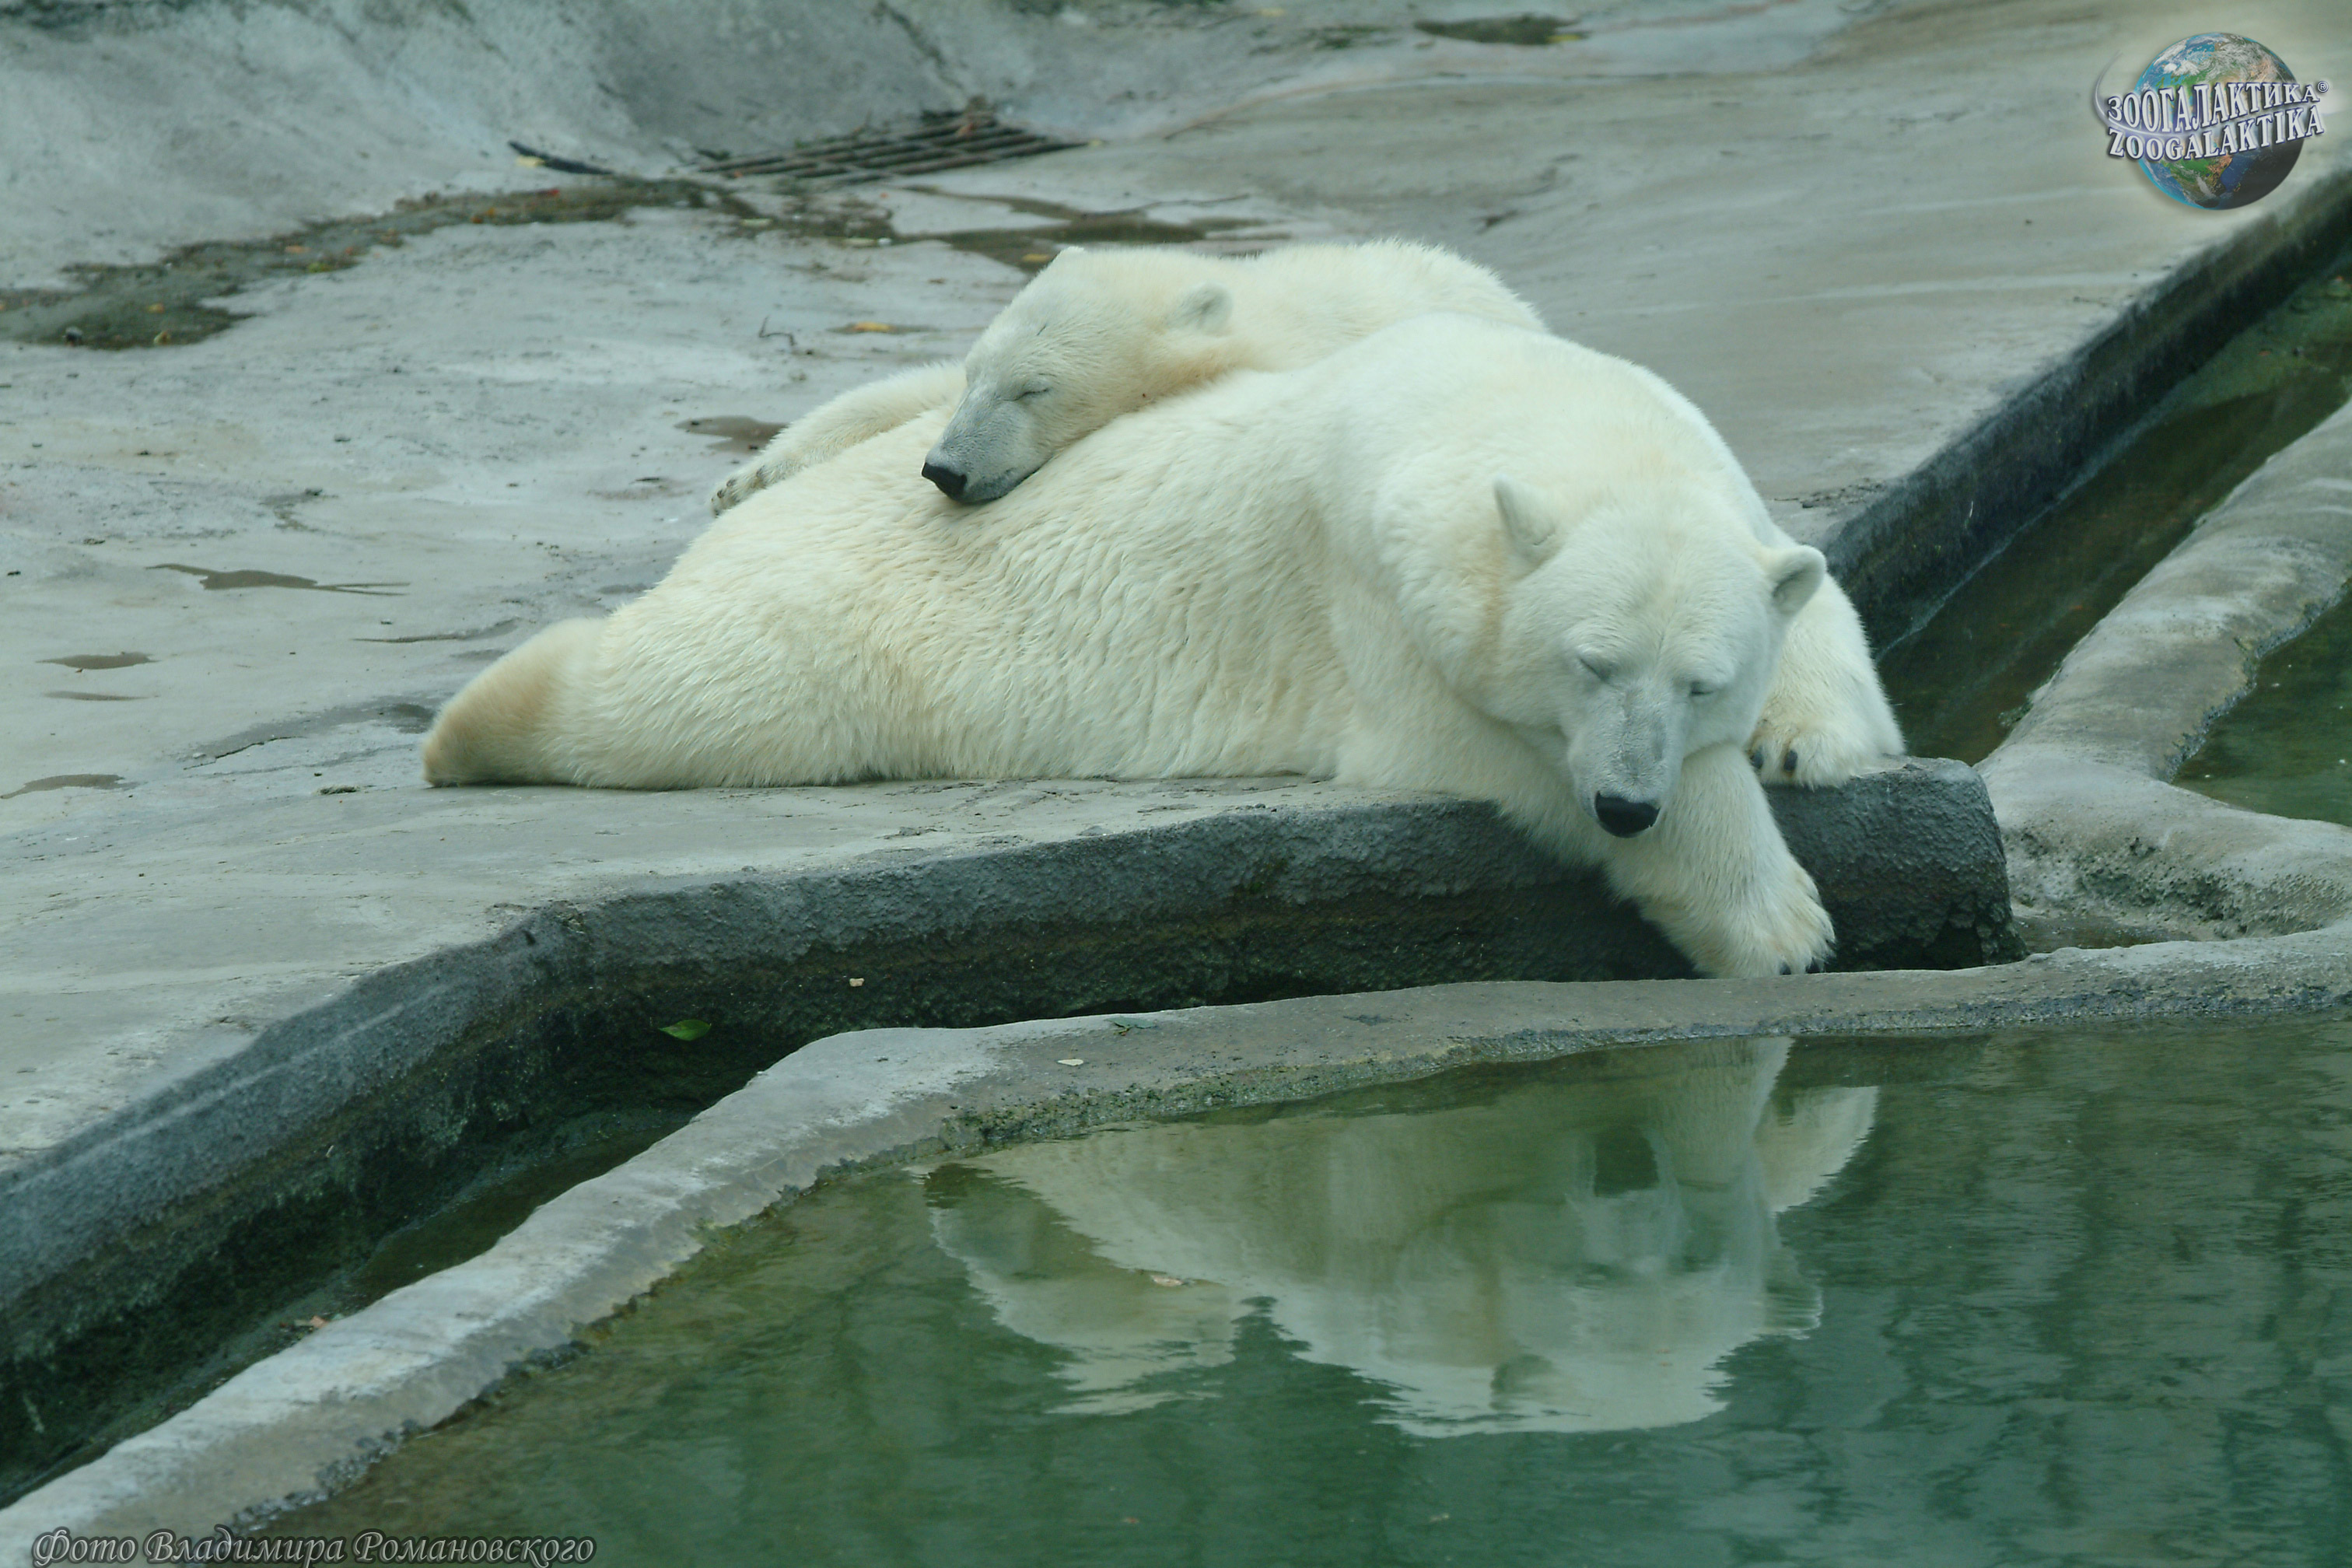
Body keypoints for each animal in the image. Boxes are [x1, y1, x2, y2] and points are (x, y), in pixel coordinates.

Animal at [426, 313, 1899, 976]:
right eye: (1587, 666)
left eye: (1702, 680)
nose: (1627, 802)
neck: (1512, 399)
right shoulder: (1376, 591)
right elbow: (1490, 742)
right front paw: (1775, 920)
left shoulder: (1702, 467)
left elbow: (1813, 598)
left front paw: (1809, 738)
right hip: (821, 624)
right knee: (683, 693)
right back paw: (470, 727)